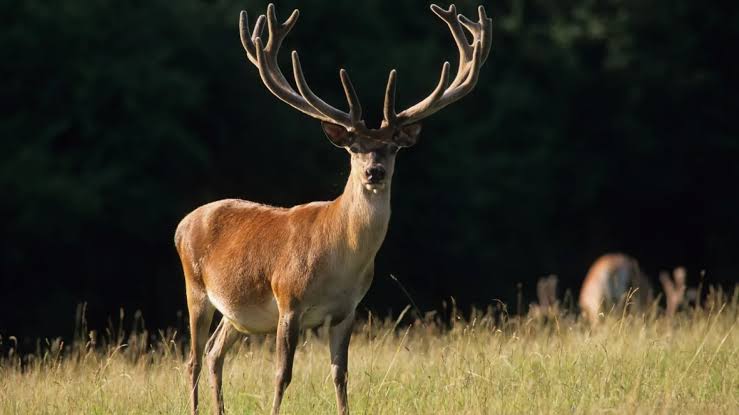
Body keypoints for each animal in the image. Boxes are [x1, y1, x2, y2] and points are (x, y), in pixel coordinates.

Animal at [174, 3, 491, 414]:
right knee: (194, 359)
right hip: (195, 287)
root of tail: (182, 224)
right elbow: (282, 375)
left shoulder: (347, 310)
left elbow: (341, 376)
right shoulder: (288, 299)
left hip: (236, 313)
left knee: (215, 353)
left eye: (393, 147)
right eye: (354, 148)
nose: (374, 171)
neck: (339, 262)